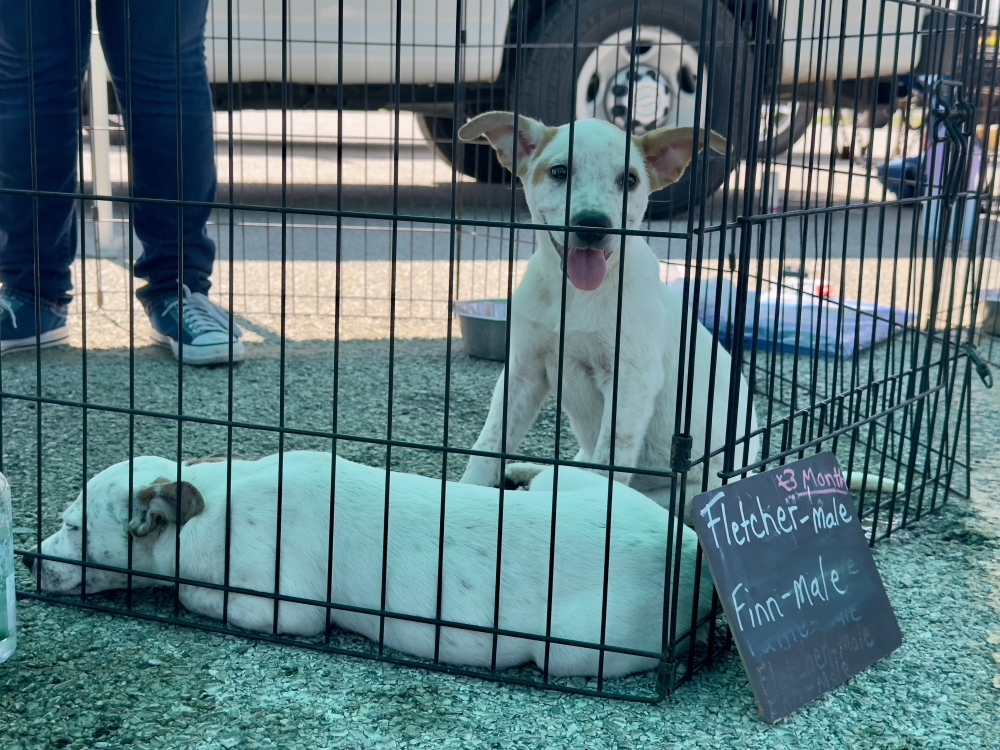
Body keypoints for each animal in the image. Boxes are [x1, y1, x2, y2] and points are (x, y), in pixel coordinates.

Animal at [31, 452, 716, 680]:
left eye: (74, 527)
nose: (30, 559)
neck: (207, 505)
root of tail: (691, 548)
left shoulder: (284, 608)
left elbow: (189, 594)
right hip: (576, 488)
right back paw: (518, 472)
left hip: (574, 650)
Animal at [458, 113, 760, 512]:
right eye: (559, 172)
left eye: (629, 180)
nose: (592, 225)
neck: (573, 295)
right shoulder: (523, 370)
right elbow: (489, 444)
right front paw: (465, 492)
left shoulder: (631, 380)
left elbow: (607, 462)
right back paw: (525, 472)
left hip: (684, 495)